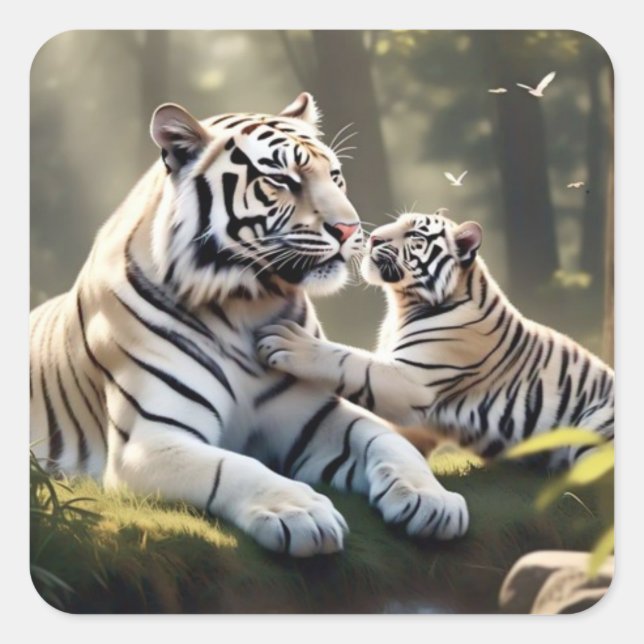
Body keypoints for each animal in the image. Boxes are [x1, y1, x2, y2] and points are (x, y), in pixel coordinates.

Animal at [30, 95, 469, 558]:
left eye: (335, 177)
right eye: (282, 179)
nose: (351, 230)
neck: (245, 304)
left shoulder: (315, 417)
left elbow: (386, 439)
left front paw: (431, 498)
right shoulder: (150, 440)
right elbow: (233, 466)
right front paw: (300, 512)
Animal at [257, 210, 614, 468]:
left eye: (414, 235)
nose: (374, 238)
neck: (402, 305)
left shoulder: (415, 379)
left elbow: (348, 361)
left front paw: (288, 342)